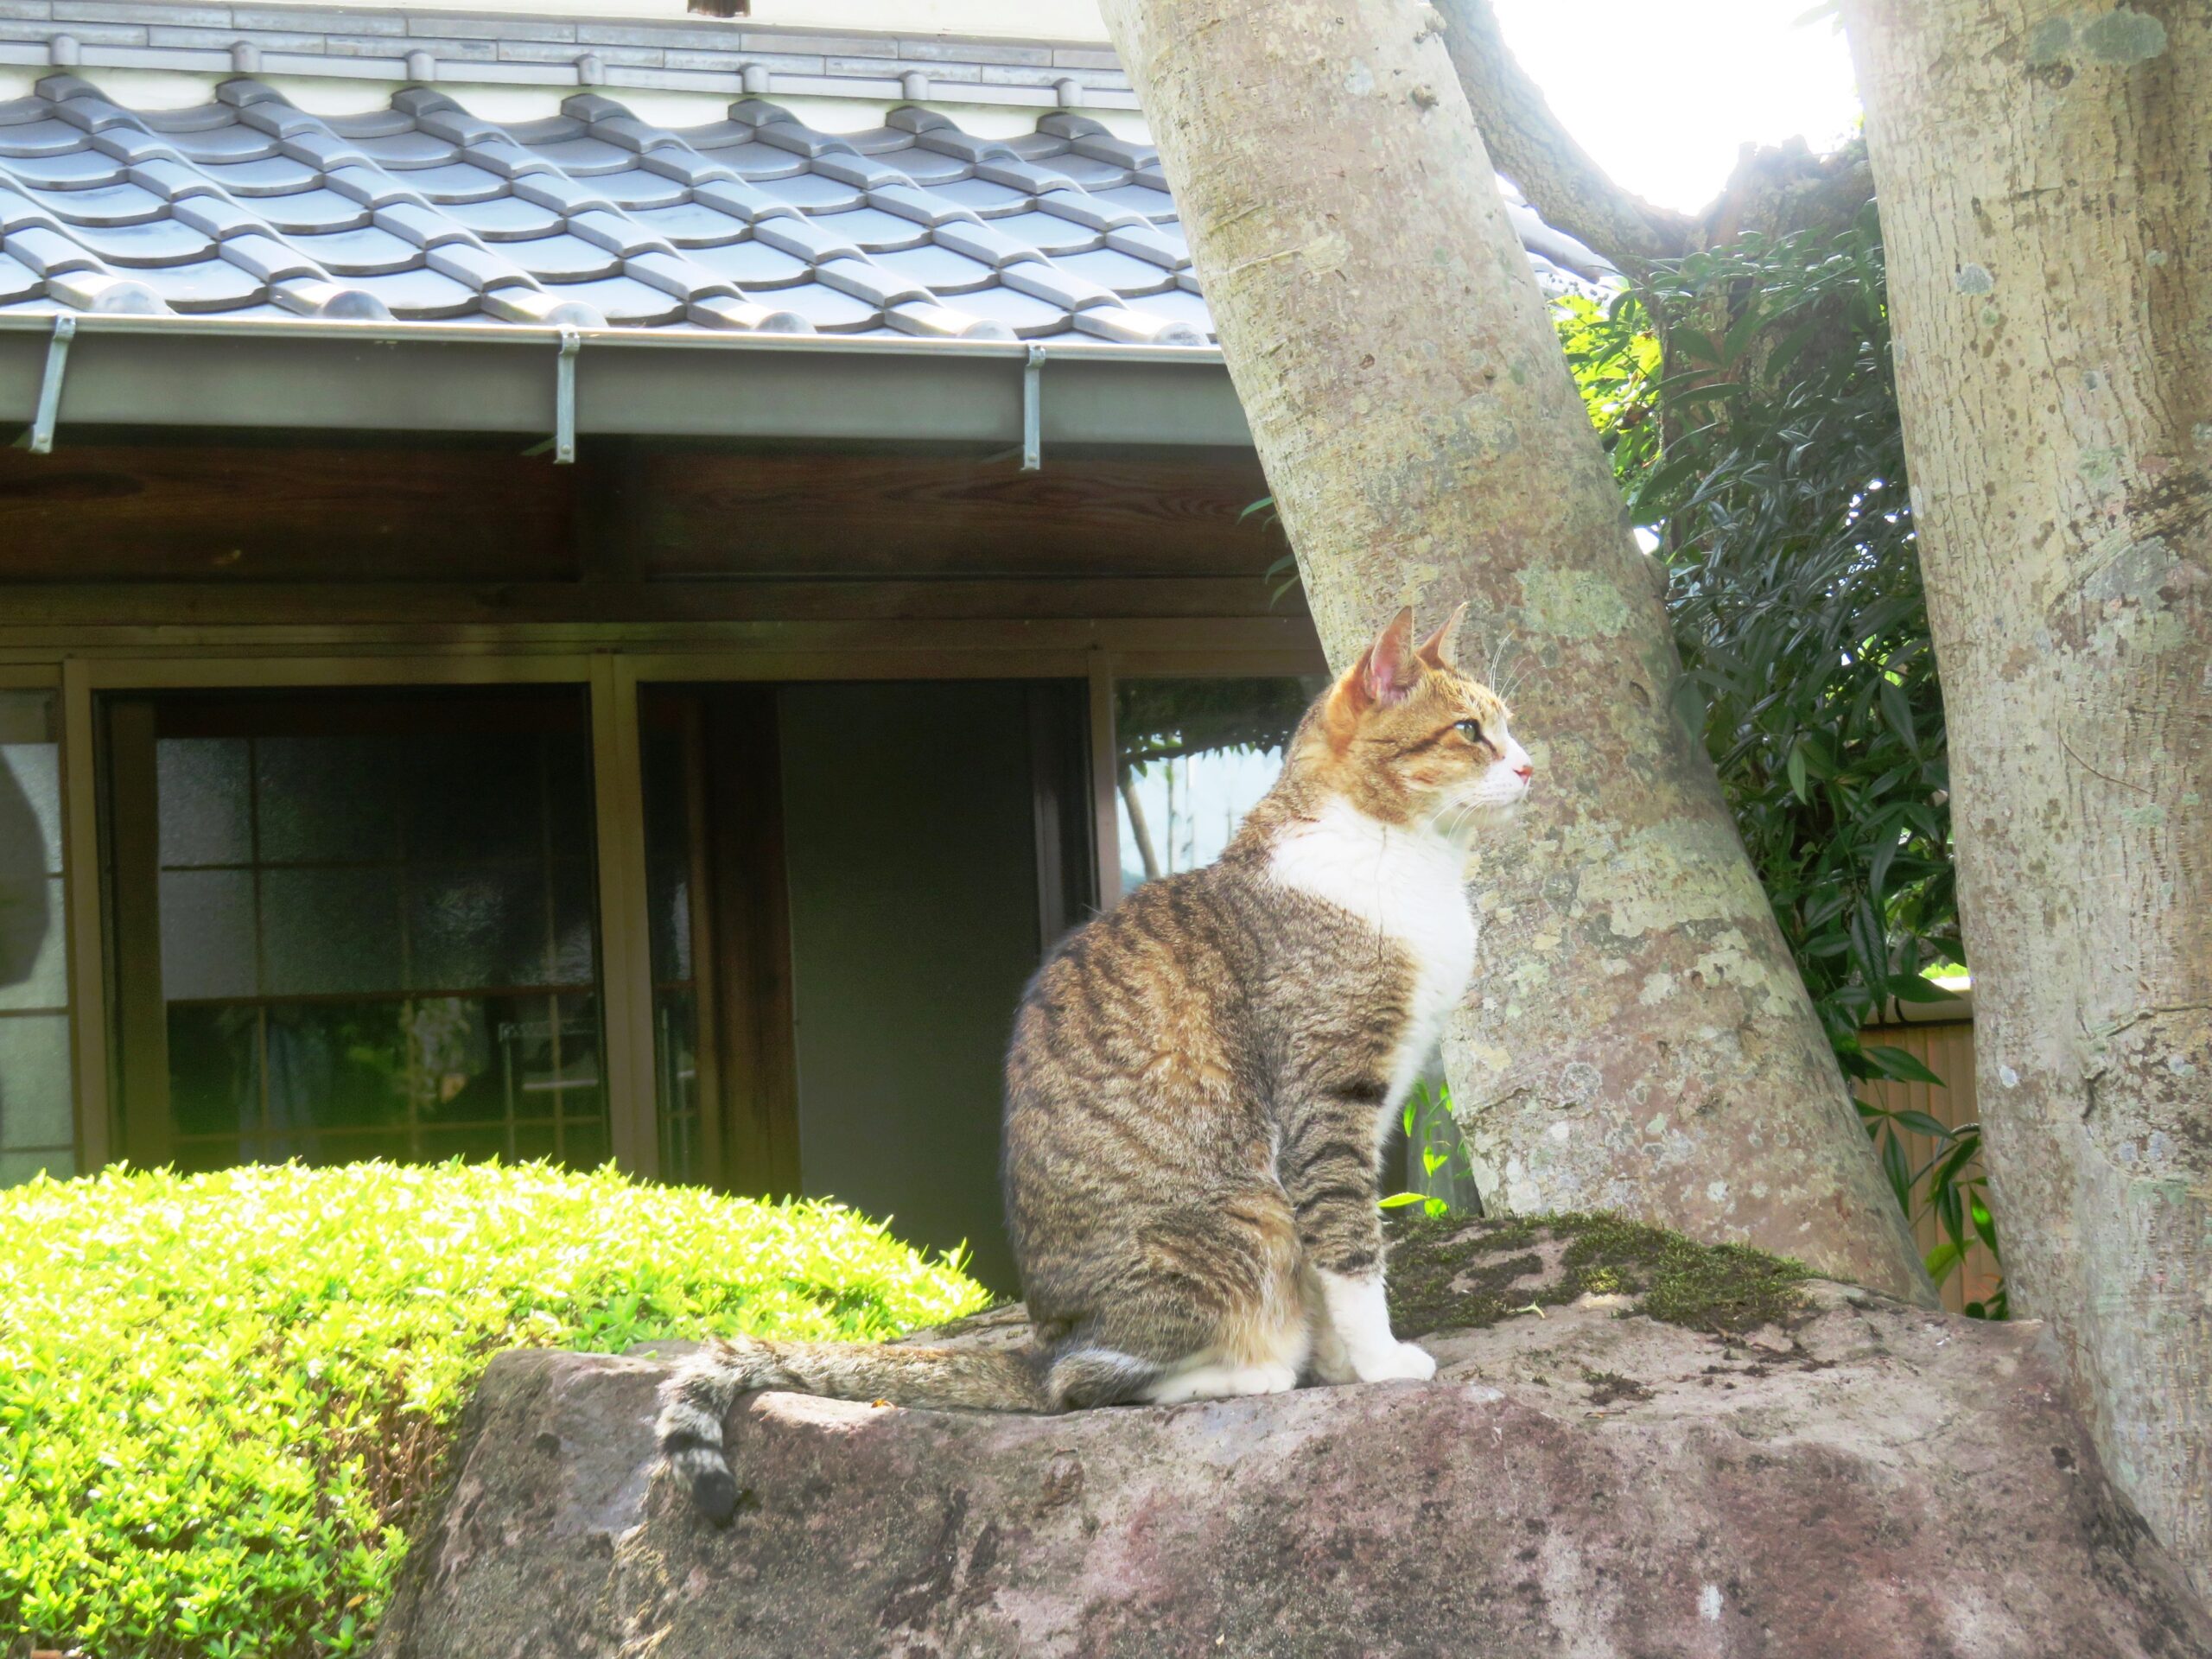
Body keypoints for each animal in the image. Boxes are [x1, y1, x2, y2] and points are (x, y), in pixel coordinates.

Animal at [654, 606, 1539, 1530]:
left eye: (1506, 725)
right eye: (1469, 731)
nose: (1529, 765)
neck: (1401, 860)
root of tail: (1040, 1344)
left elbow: (1334, 1257)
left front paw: (1341, 1364)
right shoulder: (1328, 1098)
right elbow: (1350, 1242)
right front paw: (1381, 1362)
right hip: (1241, 1224)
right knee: (1081, 1387)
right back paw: (1240, 1372)